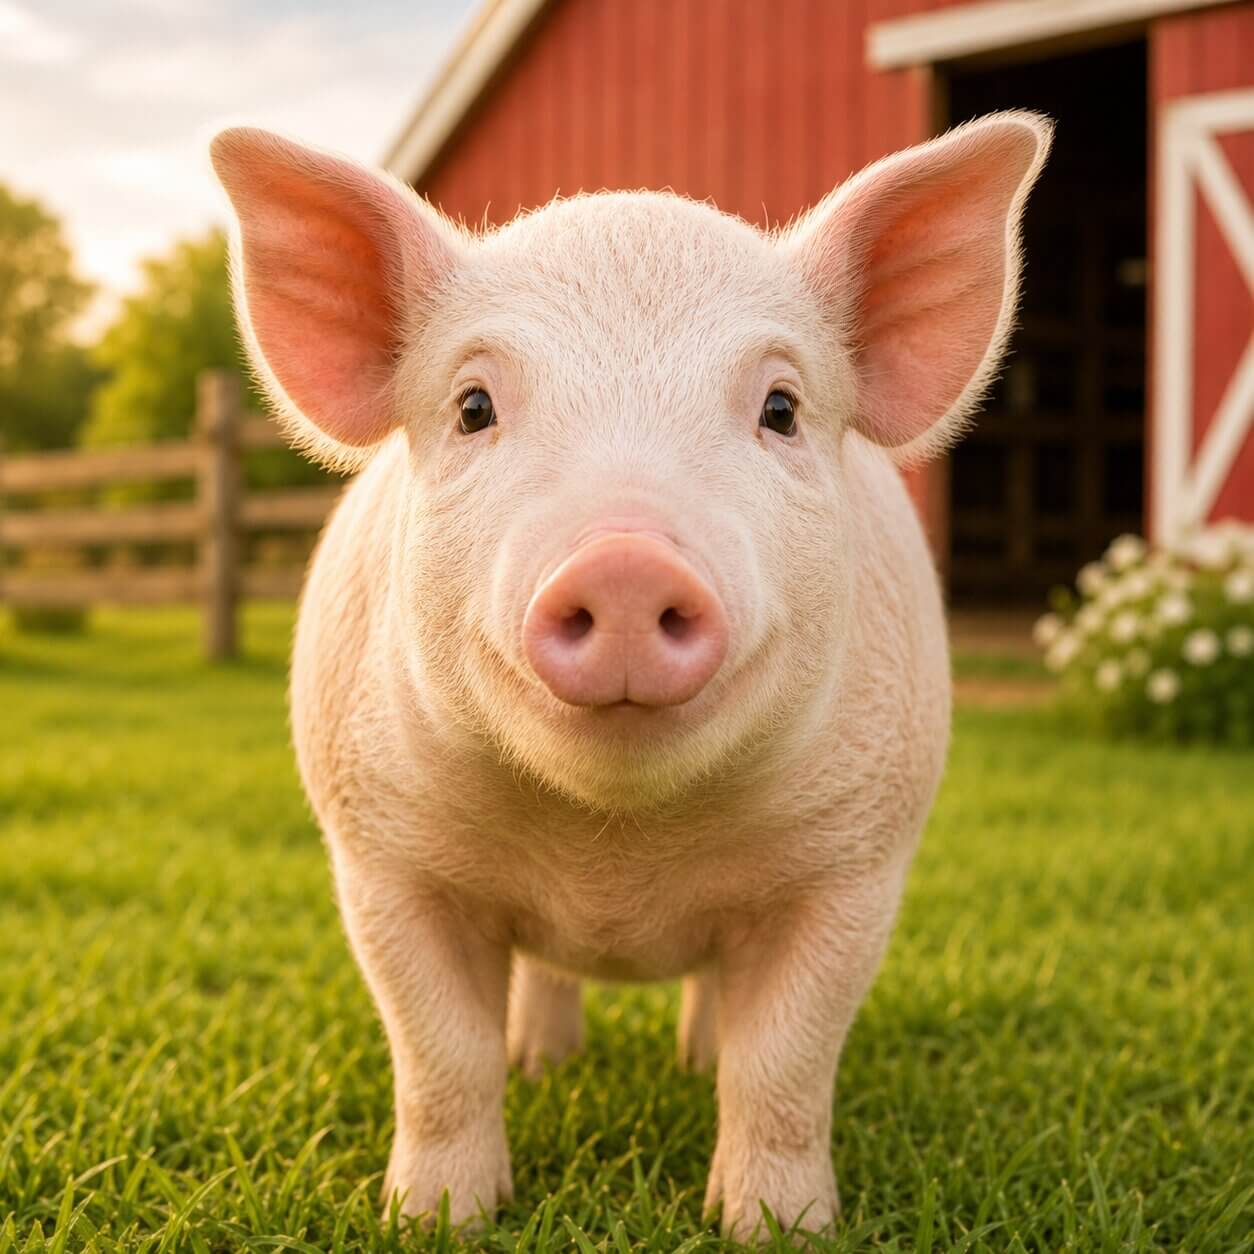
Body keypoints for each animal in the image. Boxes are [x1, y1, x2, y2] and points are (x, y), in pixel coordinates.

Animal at [210, 110, 1050, 1240]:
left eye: (781, 408)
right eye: (473, 406)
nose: (623, 561)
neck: (613, 851)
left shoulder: (857, 865)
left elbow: (784, 1063)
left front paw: (775, 1230)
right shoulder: (382, 855)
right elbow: (441, 1054)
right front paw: (436, 1221)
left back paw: (690, 1060)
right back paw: (545, 1062)